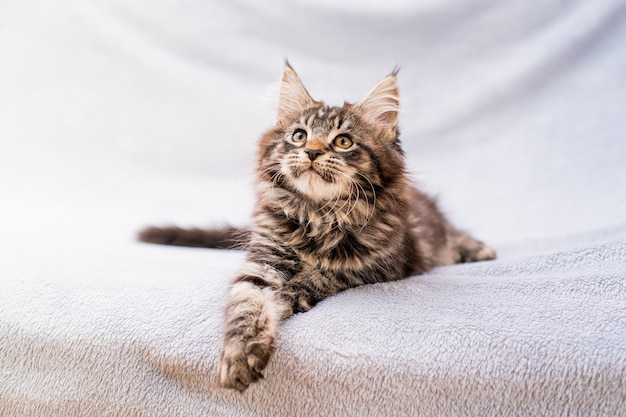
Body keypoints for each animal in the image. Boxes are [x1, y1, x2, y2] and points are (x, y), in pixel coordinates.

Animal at [139, 64, 494, 390]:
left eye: (343, 141)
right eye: (299, 136)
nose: (311, 151)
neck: (317, 215)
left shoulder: (382, 264)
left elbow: (323, 274)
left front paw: (289, 295)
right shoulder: (262, 262)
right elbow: (246, 305)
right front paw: (239, 358)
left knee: (455, 235)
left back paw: (480, 250)